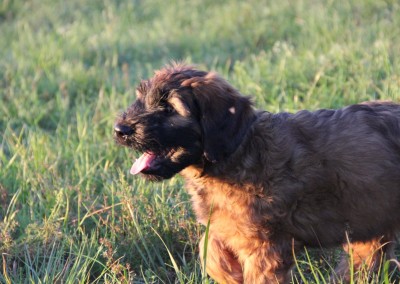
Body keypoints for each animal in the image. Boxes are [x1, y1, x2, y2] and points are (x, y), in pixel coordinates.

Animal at [114, 64, 398, 284]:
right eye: (141, 99)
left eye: (169, 109)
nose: (120, 129)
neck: (238, 151)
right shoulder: (226, 226)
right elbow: (211, 251)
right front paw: (228, 272)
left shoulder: (265, 245)